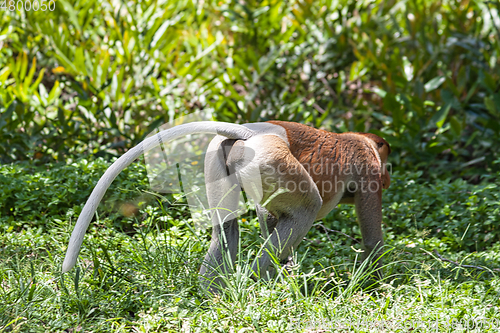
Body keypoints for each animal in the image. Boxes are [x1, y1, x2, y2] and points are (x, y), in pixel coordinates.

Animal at [62, 120, 390, 290]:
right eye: (385, 162)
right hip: (272, 159)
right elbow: (372, 238)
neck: (357, 140)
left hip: (220, 159)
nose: (388, 179)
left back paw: (210, 293)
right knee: (307, 208)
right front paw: (379, 282)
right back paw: (259, 285)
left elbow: (268, 216)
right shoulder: (368, 169)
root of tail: (252, 133)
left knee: (225, 229)